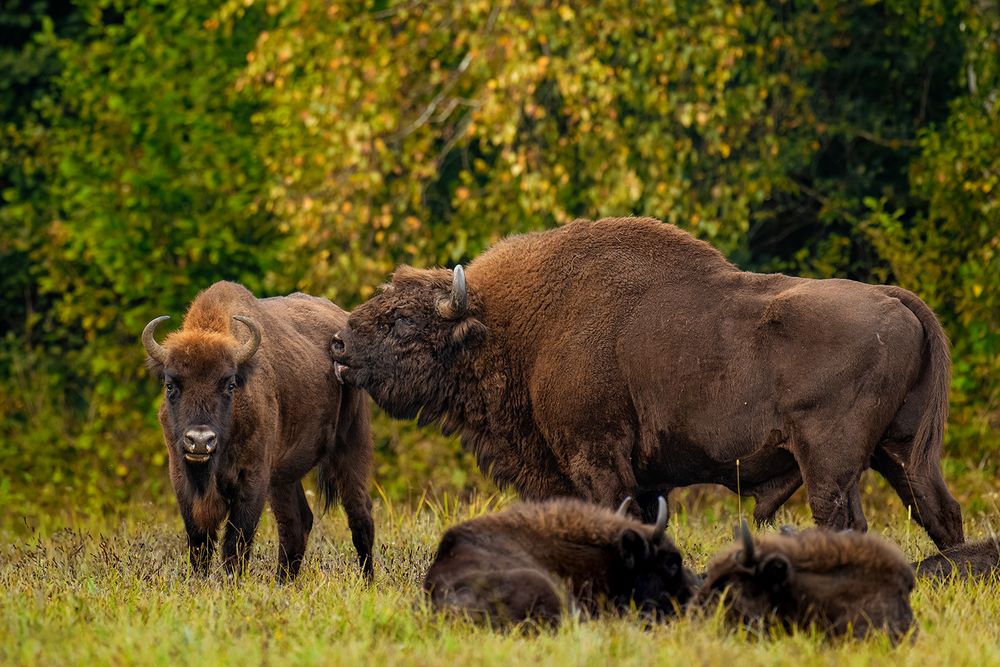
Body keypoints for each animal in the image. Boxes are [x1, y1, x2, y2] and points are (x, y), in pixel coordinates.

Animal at [143, 280, 374, 580]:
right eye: (170, 385)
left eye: (229, 384)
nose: (200, 441)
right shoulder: (182, 478)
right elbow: (199, 542)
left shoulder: (253, 478)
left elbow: (236, 542)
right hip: (284, 476)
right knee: (297, 522)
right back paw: (283, 583)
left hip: (350, 447)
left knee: (360, 514)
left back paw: (368, 581)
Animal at [332, 217, 964, 552]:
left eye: (402, 320)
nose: (338, 344)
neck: (515, 326)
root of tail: (895, 300)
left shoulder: (597, 460)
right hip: (896, 452)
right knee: (939, 511)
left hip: (829, 463)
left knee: (846, 521)